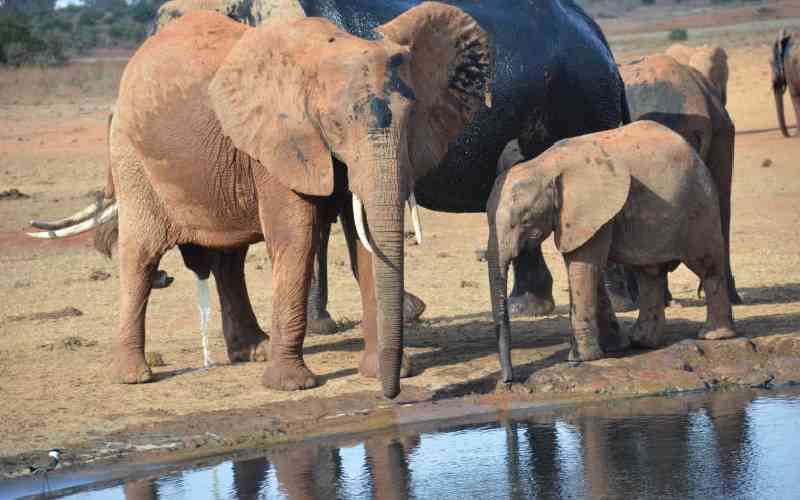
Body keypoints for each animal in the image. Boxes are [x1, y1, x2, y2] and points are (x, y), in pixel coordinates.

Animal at [72, 4, 492, 398]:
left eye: (411, 117)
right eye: (335, 124)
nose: (392, 394)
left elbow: (365, 244)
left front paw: (383, 372)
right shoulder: (280, 142)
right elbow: (297, 240)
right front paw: (292, 385)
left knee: (230, 258)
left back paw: (254, 351)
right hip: (130, 155)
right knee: (141, 254)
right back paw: (135, 376)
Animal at [487, 121, 737, 382]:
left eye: (525, 221)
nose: (507, 381)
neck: (545, 164)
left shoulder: (588, 210)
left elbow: (582, 267)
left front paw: (580, 359)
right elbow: (590, 269)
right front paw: (612, 349)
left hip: (699, 205)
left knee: (706, 265)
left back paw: (713, 336)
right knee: (649, 274)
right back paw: (643, 342)